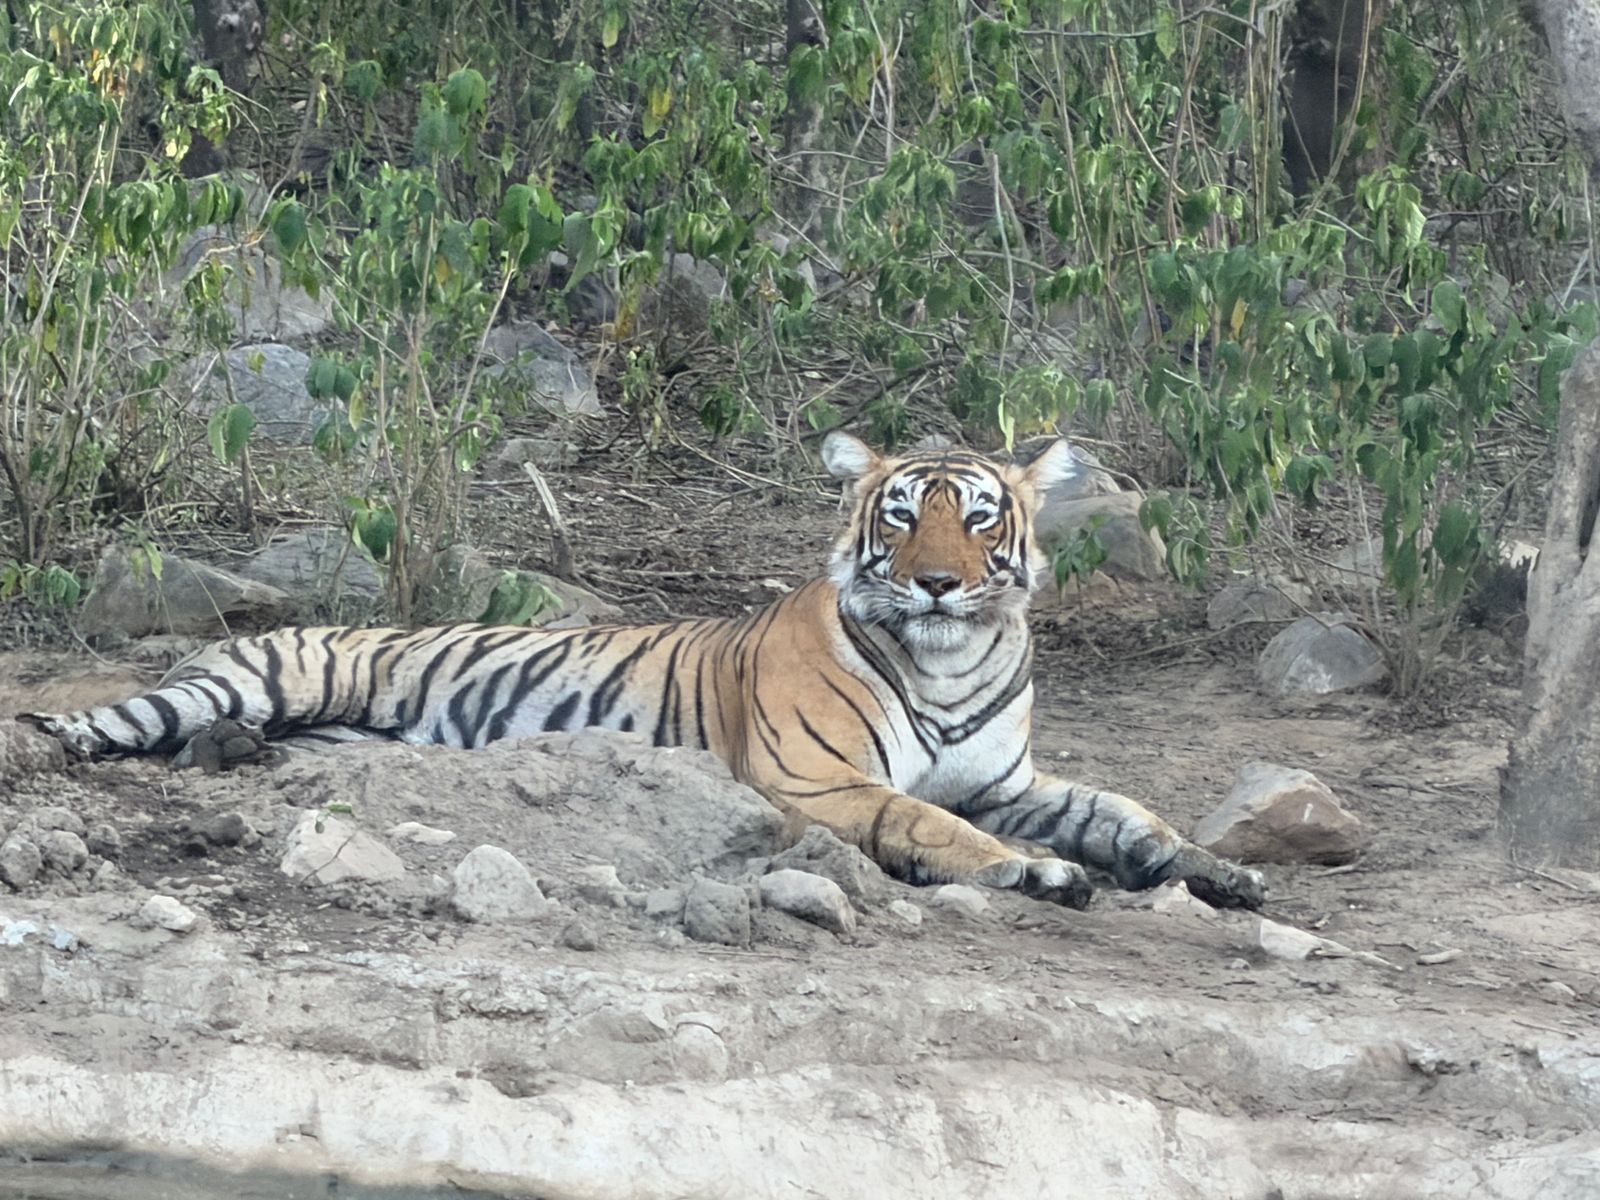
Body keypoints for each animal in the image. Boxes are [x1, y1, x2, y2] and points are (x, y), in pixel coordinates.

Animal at [19, 432, 1265, 910]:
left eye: (981, 520)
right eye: (904, 515)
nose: (937, 585)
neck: (950, 662)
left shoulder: (1013, 780)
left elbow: (1124, 811)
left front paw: (1216, 870)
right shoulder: (817, 782)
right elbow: (933, 824)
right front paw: (1037, 873)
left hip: (310, 723)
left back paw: (233, 758)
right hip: (258, 677)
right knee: (125, 719)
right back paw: (75, 741)